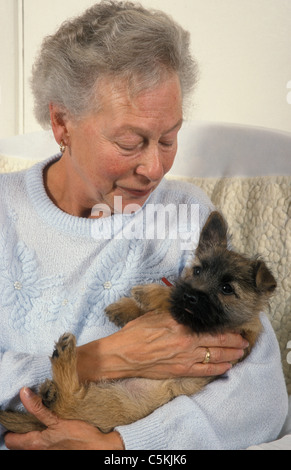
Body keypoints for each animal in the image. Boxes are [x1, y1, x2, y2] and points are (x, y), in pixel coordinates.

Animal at [0, 212, 278, 434]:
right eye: (197, 271)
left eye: (227, 289)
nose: (190, 295)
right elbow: (167, 302)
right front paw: (125, 309)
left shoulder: (221, 326)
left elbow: (173, 302)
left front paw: (148, 293)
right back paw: (50, 390)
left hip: (115, 402)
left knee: (71, 397)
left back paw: (63, 358)